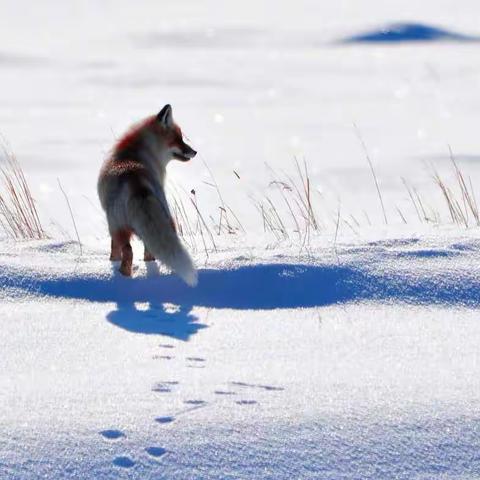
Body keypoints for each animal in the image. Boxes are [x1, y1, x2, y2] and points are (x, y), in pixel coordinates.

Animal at [98, 105, 198, 284]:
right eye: (178, 139)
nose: (195, 152)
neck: (135, 153)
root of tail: (138, 183)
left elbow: (113, 249)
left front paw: (112, 261)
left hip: (116, 226)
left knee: (128, 252)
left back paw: (123, 276)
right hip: (167, 219)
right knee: (155, 248)